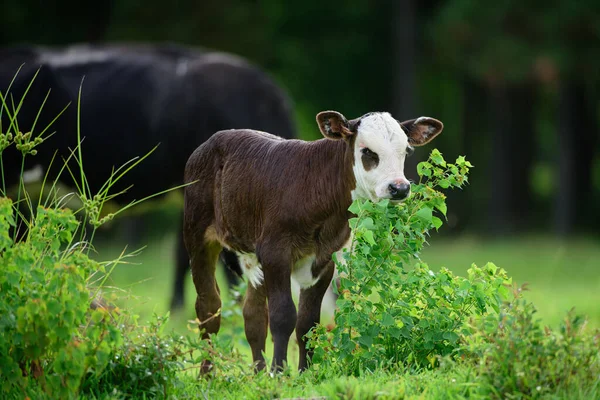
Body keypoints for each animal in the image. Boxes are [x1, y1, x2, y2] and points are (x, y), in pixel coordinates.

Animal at [182, 109, 440, 372]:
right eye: (367, 151)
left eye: (406, 150)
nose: (399, 188)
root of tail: (211, 142)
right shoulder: (276, 253)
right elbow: (283, 315)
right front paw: (279, 372)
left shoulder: (323, 259)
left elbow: (308, 322)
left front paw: (304, 373)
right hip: (197, 235)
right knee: (209, 307)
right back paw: (208, 373)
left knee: (253, 315)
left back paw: (257, 373)